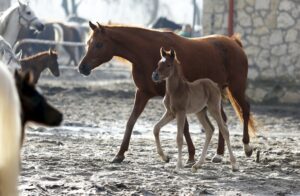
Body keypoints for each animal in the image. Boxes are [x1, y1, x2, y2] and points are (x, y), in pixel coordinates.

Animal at [77, 21, 255, 163]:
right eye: (88, 43)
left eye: (99, 44)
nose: (82, 67)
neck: (146, 53)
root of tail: (233, 42)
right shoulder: (142, 93)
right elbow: (131, 121)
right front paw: (119, 154)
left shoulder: (176, 98)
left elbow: (184, 127)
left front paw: (191, 155)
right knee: (222, 119)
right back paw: (218, 154)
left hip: (236, 88)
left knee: (245, 110)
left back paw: (246, 147)